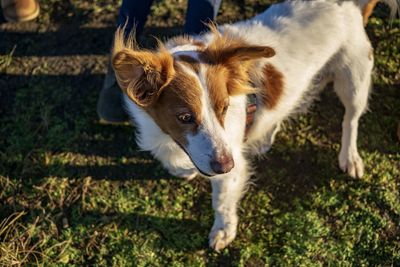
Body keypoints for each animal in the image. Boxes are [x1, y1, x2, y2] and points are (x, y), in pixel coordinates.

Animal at [108, 0, 396, 251]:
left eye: (224, 108)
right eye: (185, 117)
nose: (226, 164)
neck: (167, 137)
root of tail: (347, 6)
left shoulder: (229, 163)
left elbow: (222, 201)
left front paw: (224, 230)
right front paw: (184, 169)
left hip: (353, 81)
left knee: (351, 120)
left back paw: (350, 156)